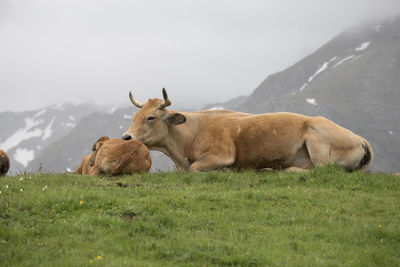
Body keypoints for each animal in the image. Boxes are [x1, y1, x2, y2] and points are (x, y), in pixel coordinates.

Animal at [120, 89, 374, 174]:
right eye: (134, 118)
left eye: (151, 117)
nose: (126, 137)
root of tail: (361, 139)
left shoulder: (222, 154)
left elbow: (196, 168)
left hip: (317, 138)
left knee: (319, 170)